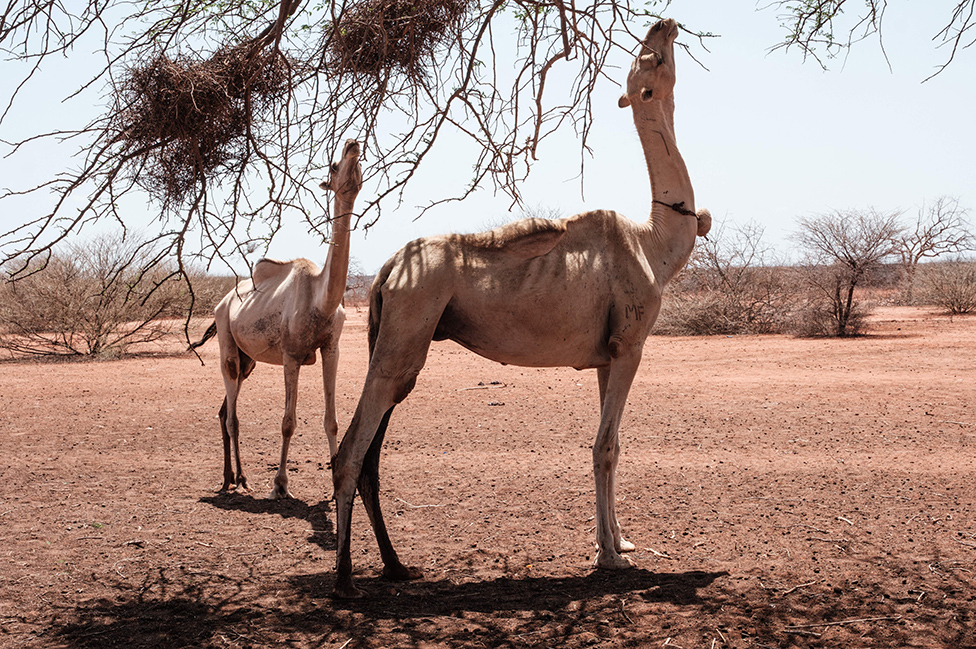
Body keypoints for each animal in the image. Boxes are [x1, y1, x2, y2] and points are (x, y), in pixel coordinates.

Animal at [190, 139, 362, 498]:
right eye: (334, 166)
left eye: (359, 162)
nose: (352, 144)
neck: (321, 299)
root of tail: (222, 303)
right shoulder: (291, 355)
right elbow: (288, 422)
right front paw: (280, 484)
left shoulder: (332, 348)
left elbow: (332, 420)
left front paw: (336, 483)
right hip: (227, 340)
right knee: (232, 415)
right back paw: (240, 480)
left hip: (249, 360)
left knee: (224, 410)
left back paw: (230, 477)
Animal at [328, 19, 708, 596]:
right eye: (651, 59)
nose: (662, 24)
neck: (655, 244)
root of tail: (387, 271)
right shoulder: (630, 346)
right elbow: (604, 447)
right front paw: (609, 559)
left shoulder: (606, 356)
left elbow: (614, 445)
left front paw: (618, 542)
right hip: (409, 325)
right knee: (352, 449)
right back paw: (346, 580)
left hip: (393, 334)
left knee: (371, 451)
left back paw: (396, 566)